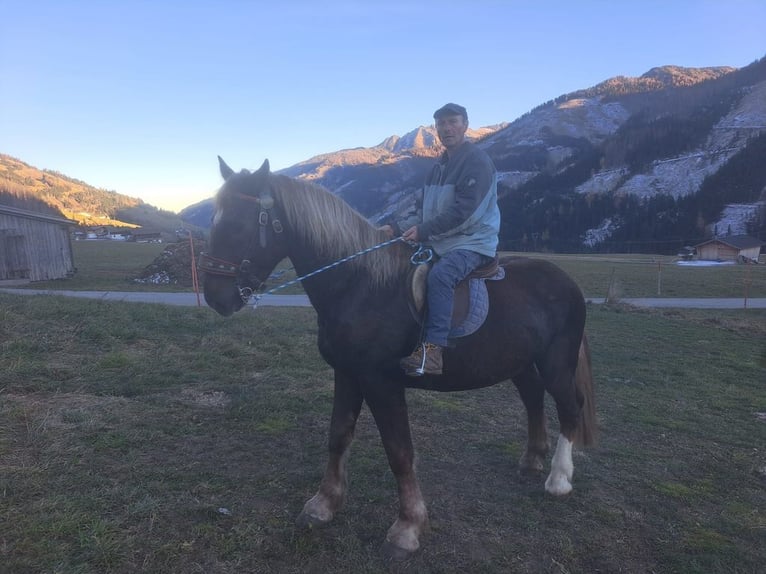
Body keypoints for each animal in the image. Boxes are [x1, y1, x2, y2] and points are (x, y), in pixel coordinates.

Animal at [201, 156, 596, 560]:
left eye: (237, 224)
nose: (215, 296)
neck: (360, 286)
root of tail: (565, 281)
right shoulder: (347, 374)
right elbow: (338, 436)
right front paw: (323, 505)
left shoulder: (381, 382)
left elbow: (399, 452)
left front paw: (407, 528)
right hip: (519, 361)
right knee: (533, 398)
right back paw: (532, 460)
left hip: (556, 362)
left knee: (569, 406)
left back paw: (558, 479)